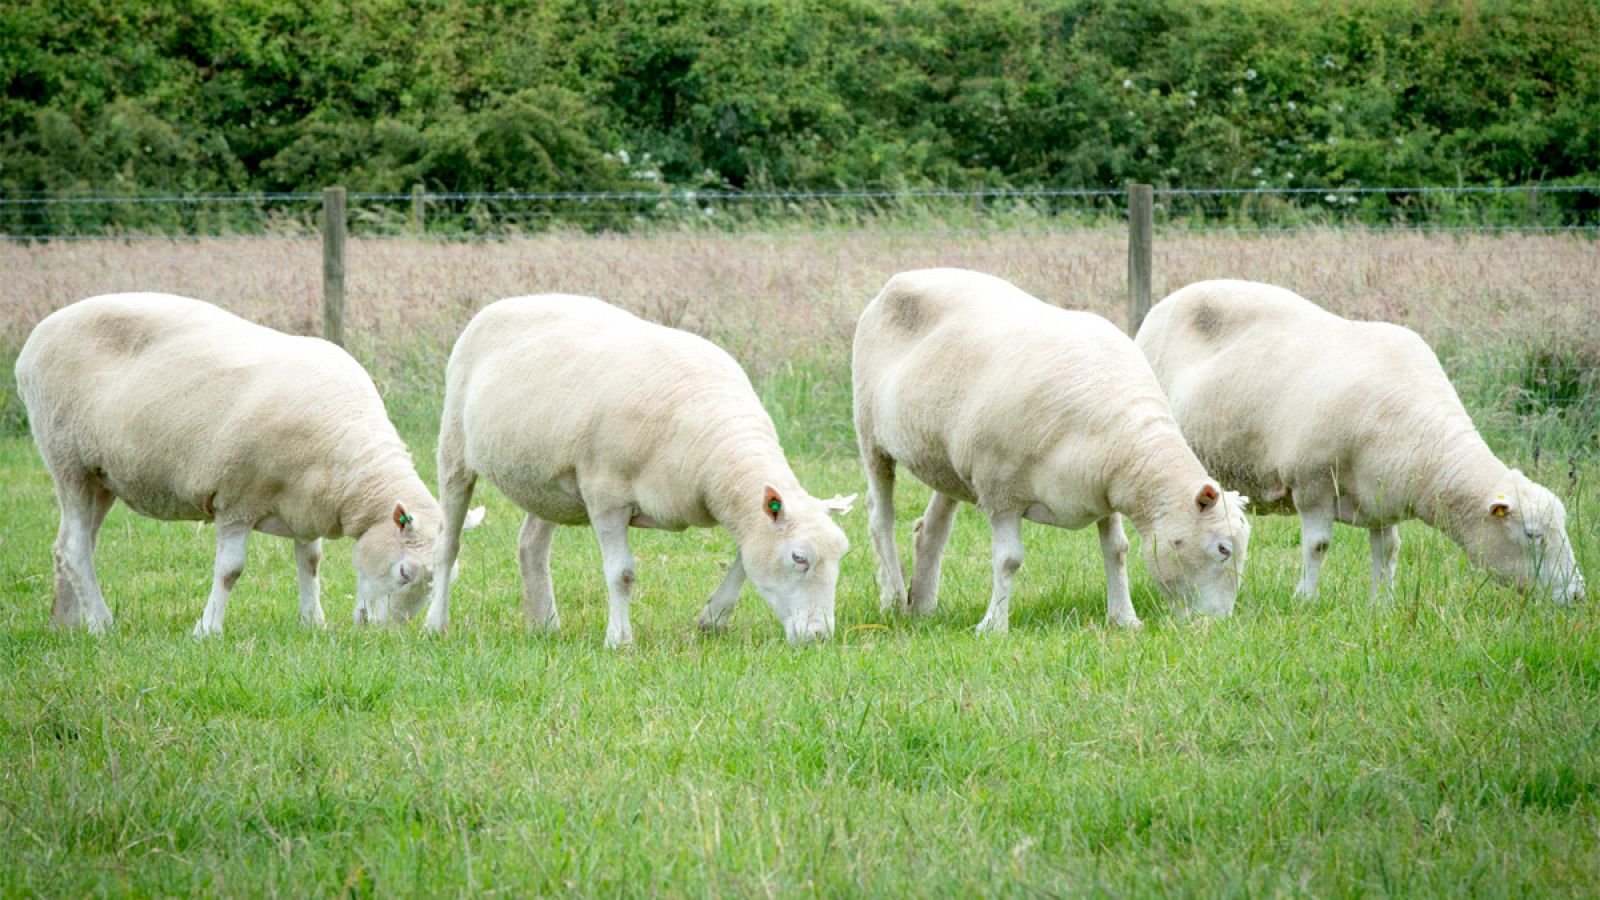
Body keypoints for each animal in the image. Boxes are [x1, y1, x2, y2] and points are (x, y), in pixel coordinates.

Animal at [422, 294, 851, 643]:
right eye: (799, 558)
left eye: (841, 556)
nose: (819, 638)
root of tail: (506, 302)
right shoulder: (606, 496)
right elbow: (622, 574)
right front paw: (619, 640)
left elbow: (746, 558)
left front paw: (712, 618)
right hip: (454, 450)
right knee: (448, 545)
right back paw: (435, 625)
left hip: (544, 482)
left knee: (531, 547)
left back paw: (545, 626)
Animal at [851, 265, 1248, 630]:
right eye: (1223, 549)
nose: (1219, 623)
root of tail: (905, 276)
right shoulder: (1000, 491)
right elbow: (1008, 559)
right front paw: (993, 626)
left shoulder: (1103, 491)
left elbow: (1117, 550)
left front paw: (1124, 619)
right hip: (870, 432)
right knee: (880, 517)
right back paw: (893, 597)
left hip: (945, 462)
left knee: (931, 528)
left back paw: (922, 604)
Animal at [1139, 278, 1587, 602]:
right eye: (1533, 535)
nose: (1578, 595)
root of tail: (1172, 298)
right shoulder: (1313, 484)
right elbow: (1318, 546)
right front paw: (1305, 598)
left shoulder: (1382, 497)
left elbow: (1388, 551)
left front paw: (1382, 603)